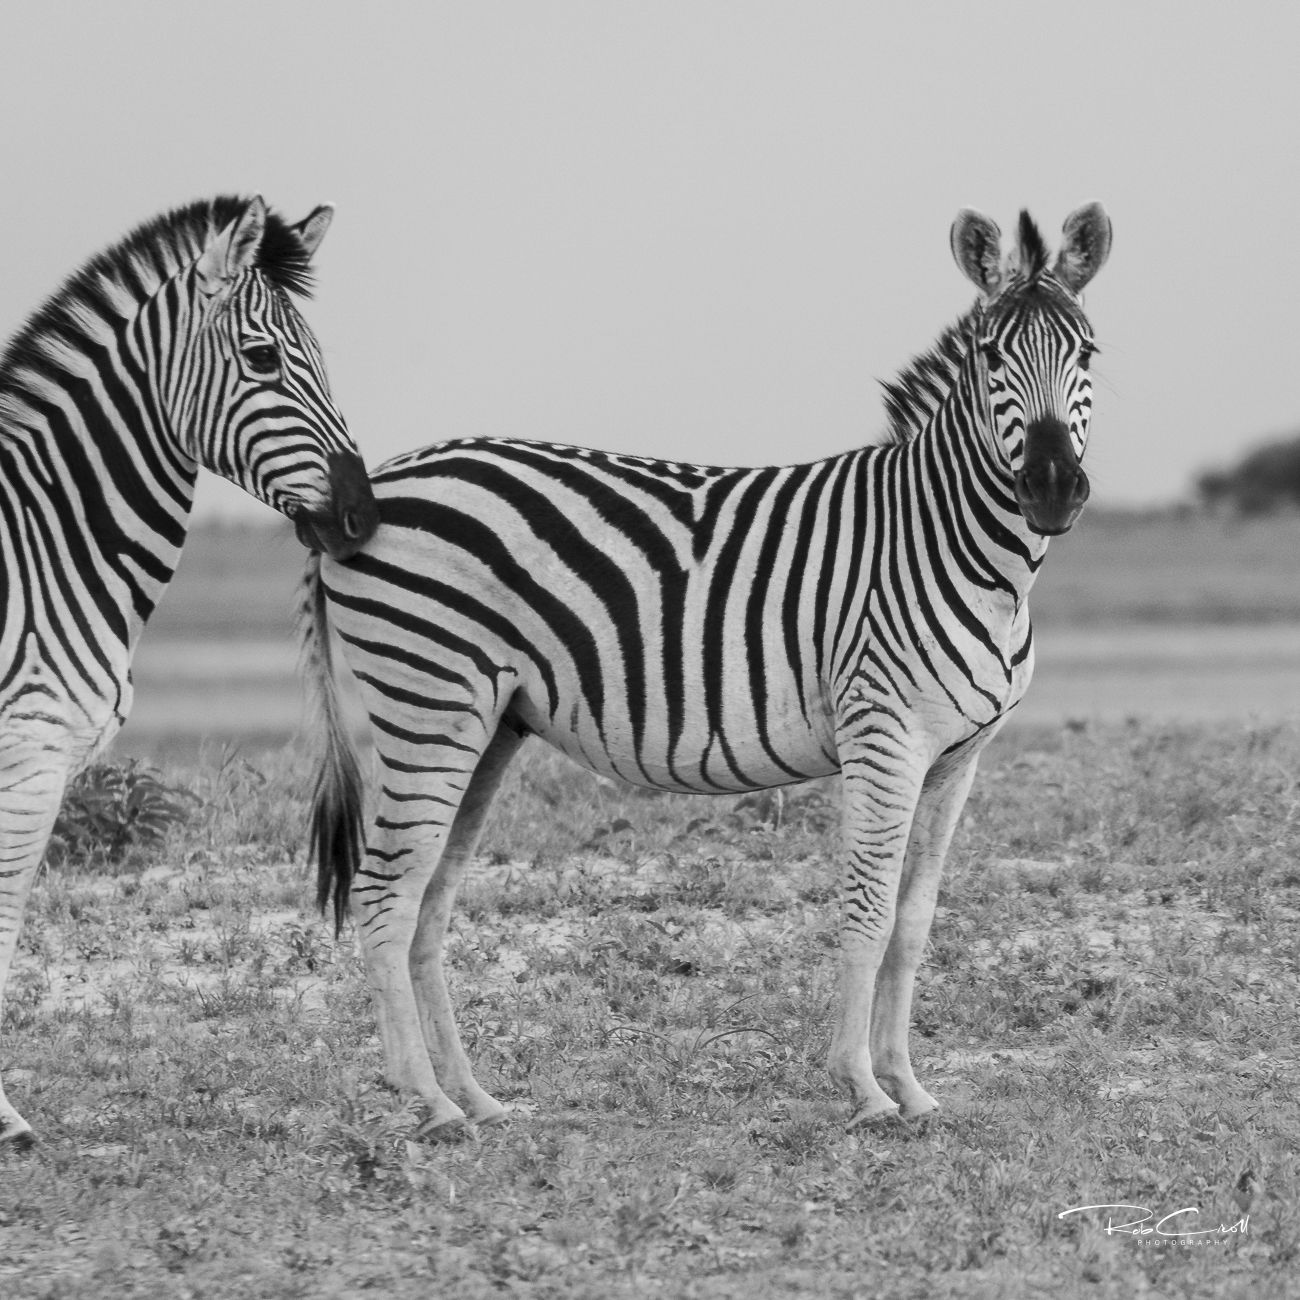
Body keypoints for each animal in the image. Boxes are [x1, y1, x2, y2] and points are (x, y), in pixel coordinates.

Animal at [0, 195, 379, 1148]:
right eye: (263, 358)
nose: (364, 516)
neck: (45, 544)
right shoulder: (28, 748)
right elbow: (5, 917)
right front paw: (4, 1121)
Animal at [300, 204, 1111, 1137]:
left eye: (1089, 353)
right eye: (990, 356)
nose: (1051, 488)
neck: (957, 545)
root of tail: (365, 491)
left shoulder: (958, 757)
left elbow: (914, 922)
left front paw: (910, 1087)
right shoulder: (883, 734)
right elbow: (867, 913)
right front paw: (862, 1087)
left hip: (486, 722)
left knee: (429, 901)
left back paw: (477, 1098)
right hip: (427, 701)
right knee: (385, 896)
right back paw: (428, 1103)